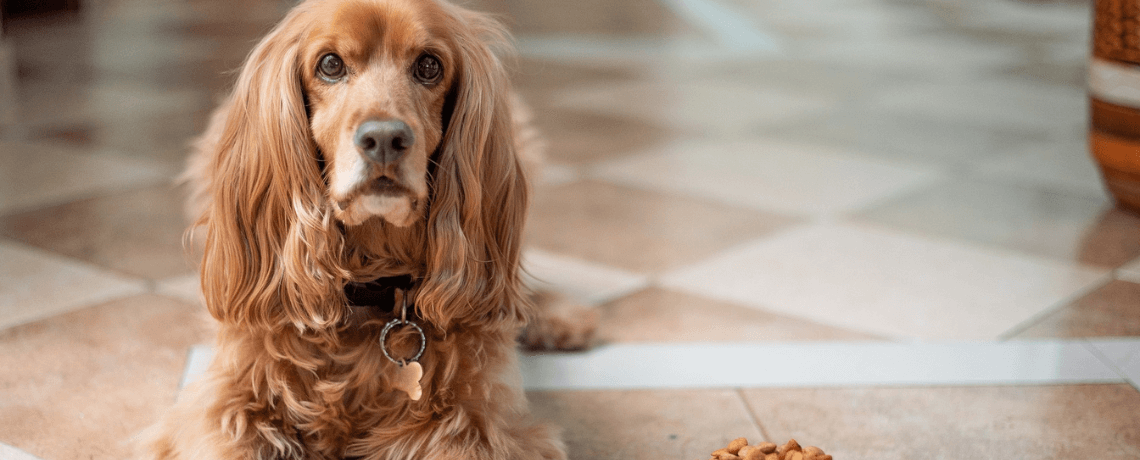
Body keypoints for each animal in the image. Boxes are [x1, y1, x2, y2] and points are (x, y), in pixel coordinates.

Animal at [140, 0, 597, 457]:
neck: (371, 277)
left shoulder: (479, 423)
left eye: (429, 66)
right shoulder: (227, 405)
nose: (384, 140)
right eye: (330, 64)